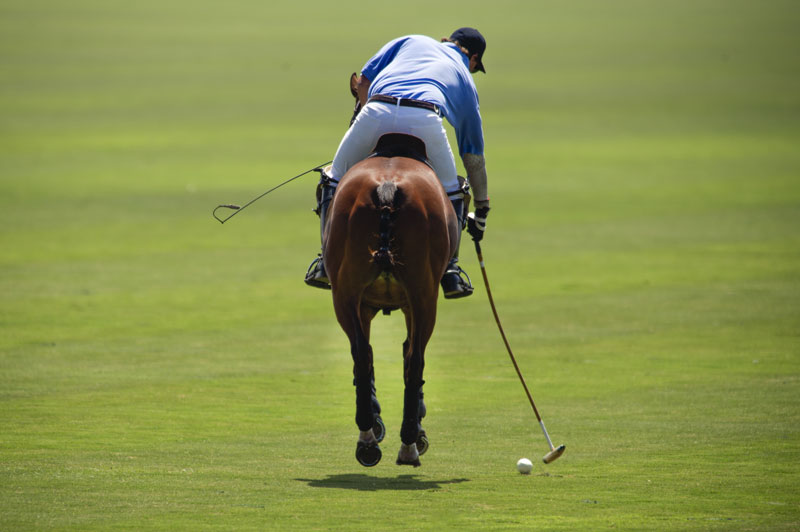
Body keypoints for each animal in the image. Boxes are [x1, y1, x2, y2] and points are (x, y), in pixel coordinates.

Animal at [320, 132, 456, 466]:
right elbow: (404, 353)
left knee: (363, 355)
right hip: (421, 296)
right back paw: (404, 442)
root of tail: (388, 187)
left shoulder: (368, 304)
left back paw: (370, 438)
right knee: (411, 358)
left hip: (347, 294)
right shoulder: (402, 303)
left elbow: (373, 353)